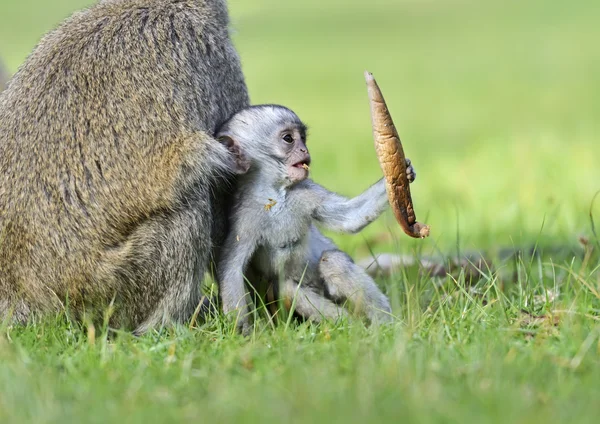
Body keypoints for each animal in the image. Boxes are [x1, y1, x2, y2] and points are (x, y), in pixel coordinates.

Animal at [216, 104, 418, 330]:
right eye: (288, 139)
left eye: (303, 138)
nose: (305, 150)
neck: (275, 196)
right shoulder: (243, 218)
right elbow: (231, 268)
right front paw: (243, 330)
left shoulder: (306, 193)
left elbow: (349, 219)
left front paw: (398, 176)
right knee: (286, 287)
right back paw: (346, 324)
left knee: (333, 261)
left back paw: (383, 324)